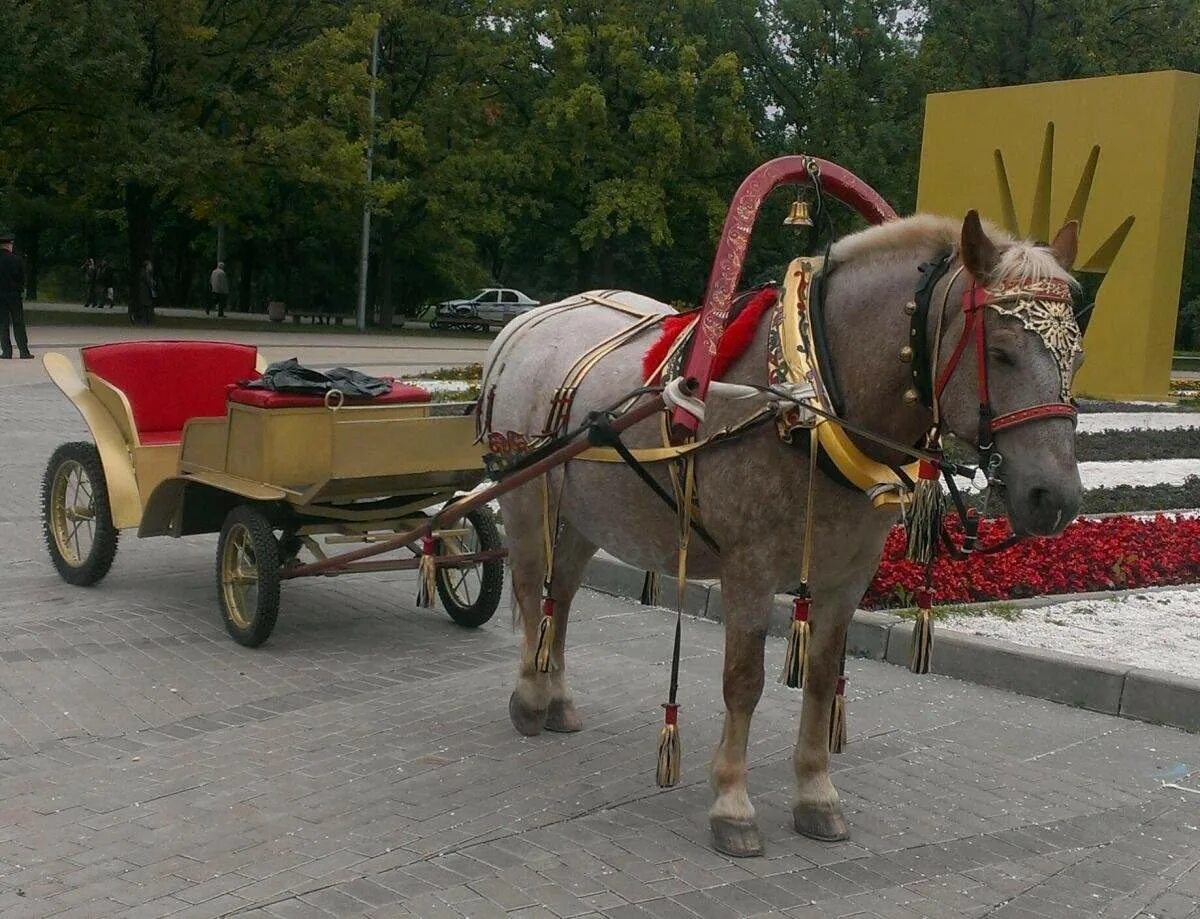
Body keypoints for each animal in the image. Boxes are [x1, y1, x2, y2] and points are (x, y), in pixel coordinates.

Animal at [480, 212, 1089, 859]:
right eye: (1000, 353)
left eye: (1076, 354)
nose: (1056, 499)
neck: (806, 404)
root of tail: (527, 323)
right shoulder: (747, 569)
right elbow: (743, 682)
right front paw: (732, 803)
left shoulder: (848, 574)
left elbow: (822, 679)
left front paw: (816, 794)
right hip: (525, 499)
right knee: (531, 591)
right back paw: (531, 697)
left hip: (584, 515)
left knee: (562, 598)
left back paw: (558, 697)